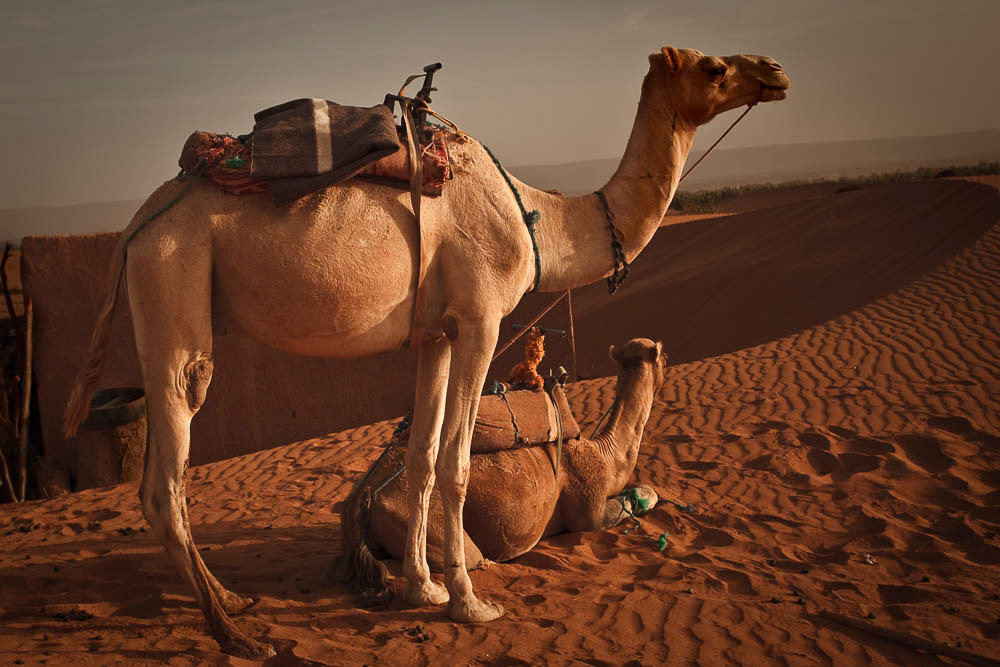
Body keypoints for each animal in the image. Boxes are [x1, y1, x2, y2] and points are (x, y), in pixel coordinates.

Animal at [337, 338, 666, 602]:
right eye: (662, 354)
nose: (668, 355)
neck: (604, 455)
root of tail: (364, 495)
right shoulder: (589, 510)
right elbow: (641, 497)